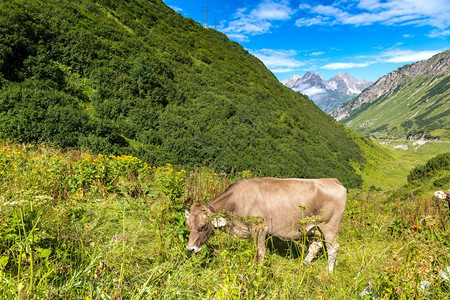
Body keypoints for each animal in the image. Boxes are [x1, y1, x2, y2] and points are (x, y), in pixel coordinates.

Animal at [185, 177, 346, 274]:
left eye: (203, 226)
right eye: (188, 225)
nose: (190, 249)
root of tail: (333, 180)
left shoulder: (260, 228)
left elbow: (260, 251)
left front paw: (259, 271)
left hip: (330, 227)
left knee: (333, 248)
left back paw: (329, 272)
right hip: (314, 228)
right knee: (314, 246)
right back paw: (303, 266)